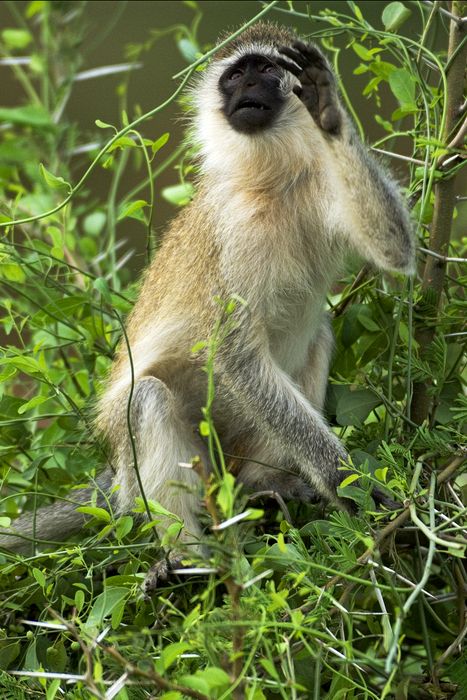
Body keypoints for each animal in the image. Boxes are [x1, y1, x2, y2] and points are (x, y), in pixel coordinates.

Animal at [0, 20, 416, 556]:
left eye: (266, 69)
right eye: (236, 75)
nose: (248, 88)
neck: (271, 182)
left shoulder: (321, 185)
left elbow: (394, 247)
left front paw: (328, 112)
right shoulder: (232, 232)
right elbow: (234, 354)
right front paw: (342, 480)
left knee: (318, 337)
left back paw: (263, 485)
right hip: (142, 471)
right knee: (148, 400)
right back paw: (189, 562)